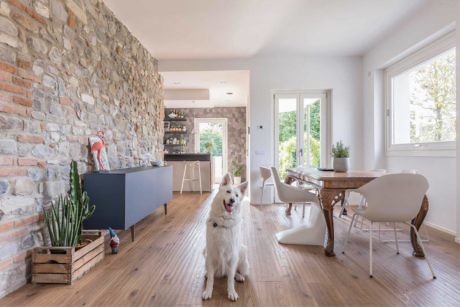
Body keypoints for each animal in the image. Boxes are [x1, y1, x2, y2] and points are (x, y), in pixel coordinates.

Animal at [203, 174, 250, 302]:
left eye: (237, 195)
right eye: (228, 191)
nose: (232, 200)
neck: (223, 223)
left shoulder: (233, 255)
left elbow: (230, 279)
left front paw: (231, 292)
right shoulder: (211, 254)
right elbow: (211, 279)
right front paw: (208, 291)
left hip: (243, 254)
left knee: (233, 273)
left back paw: (238, 276)